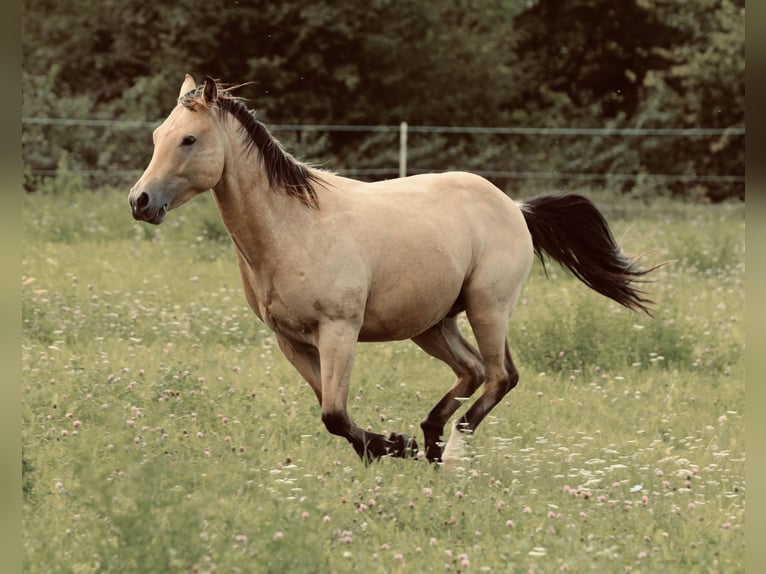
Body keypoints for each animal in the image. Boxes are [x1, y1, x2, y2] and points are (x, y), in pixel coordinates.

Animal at [129, 75, 659, 464]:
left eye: (189, 139)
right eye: (157, 137)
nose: (140, 201)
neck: (294, 226)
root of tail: (515, 207)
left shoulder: (338, 330)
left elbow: (333, 413)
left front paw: (390, 446)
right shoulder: (291, 341)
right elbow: (332, 413)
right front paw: (391, 445)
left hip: (488, 308)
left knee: (500, 376)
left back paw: (451, 448)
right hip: (432, 324)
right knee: (471, 371)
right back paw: (429, 439)